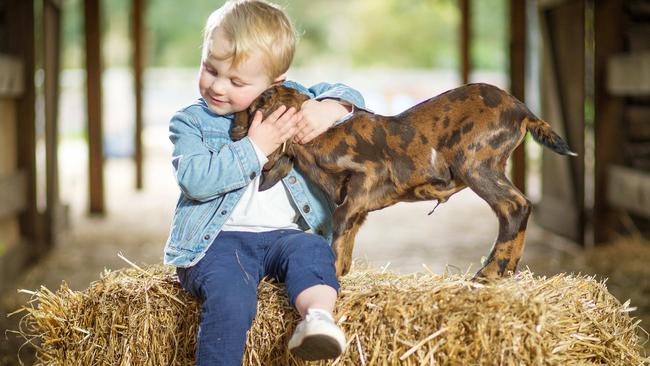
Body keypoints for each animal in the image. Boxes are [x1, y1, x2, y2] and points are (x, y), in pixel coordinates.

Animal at [230, 83, 576, 280]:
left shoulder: (369, 174)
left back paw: (489, 273)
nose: (233, 131)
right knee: (516, 207)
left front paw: (334, 272)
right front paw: (342, 270)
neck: (317, 135)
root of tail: (523, 111)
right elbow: (349, 230)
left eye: (254, 107)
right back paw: (504, 272)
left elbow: (340, 221)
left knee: (515, 206)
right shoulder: (358, 201)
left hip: (476, 162)